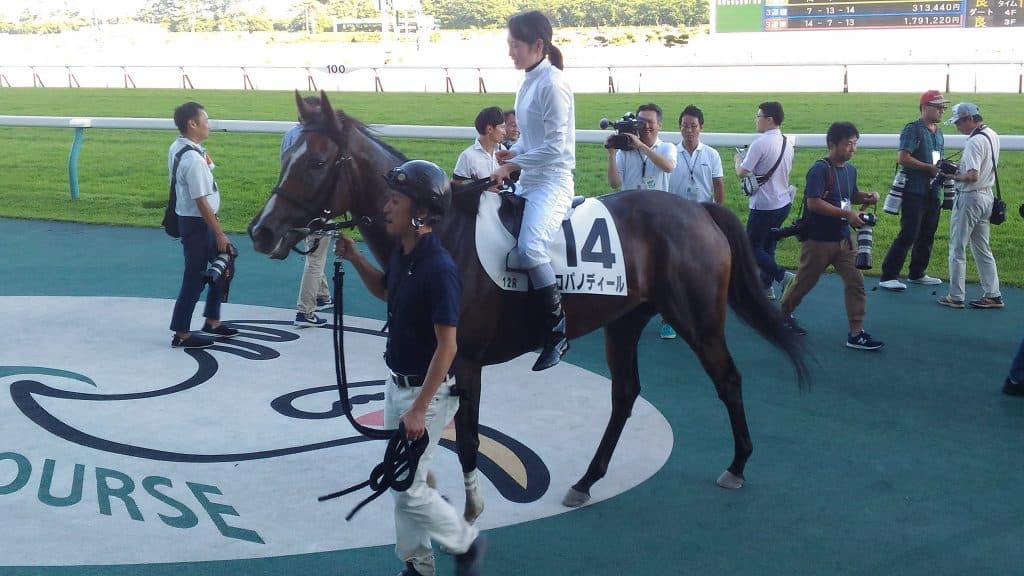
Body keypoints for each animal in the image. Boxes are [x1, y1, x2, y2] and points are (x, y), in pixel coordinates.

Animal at [249, 91, 808, 519]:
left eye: (316, 162)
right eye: (283, 158)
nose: (262, 231)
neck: (441, 231)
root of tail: (699, 209)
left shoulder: (464, 359)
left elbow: (467, 439)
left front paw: (470, 510)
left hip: (698, 319)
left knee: (727, 380)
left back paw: (737, 465)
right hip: (624, 321)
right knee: (625, 394)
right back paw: (587, 479)